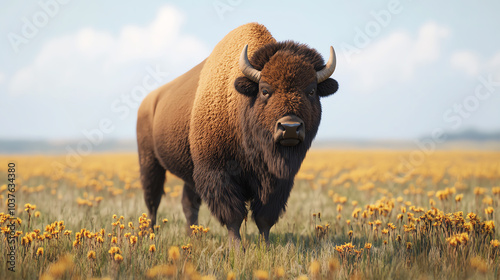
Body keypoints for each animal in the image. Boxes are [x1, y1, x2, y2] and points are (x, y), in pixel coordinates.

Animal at [138, 23, 340, 244]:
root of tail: (150, 101)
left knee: (188, 203)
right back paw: (149, 234)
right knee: (153, 200)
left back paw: (193, 235)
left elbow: (264, 217)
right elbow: (233, 216)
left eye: (311, 91)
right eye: (265, 90)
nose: (290, 127)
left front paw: (265, 246)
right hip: (149, 162)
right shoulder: (216, 172)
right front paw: (237, 247)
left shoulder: (277, 182)